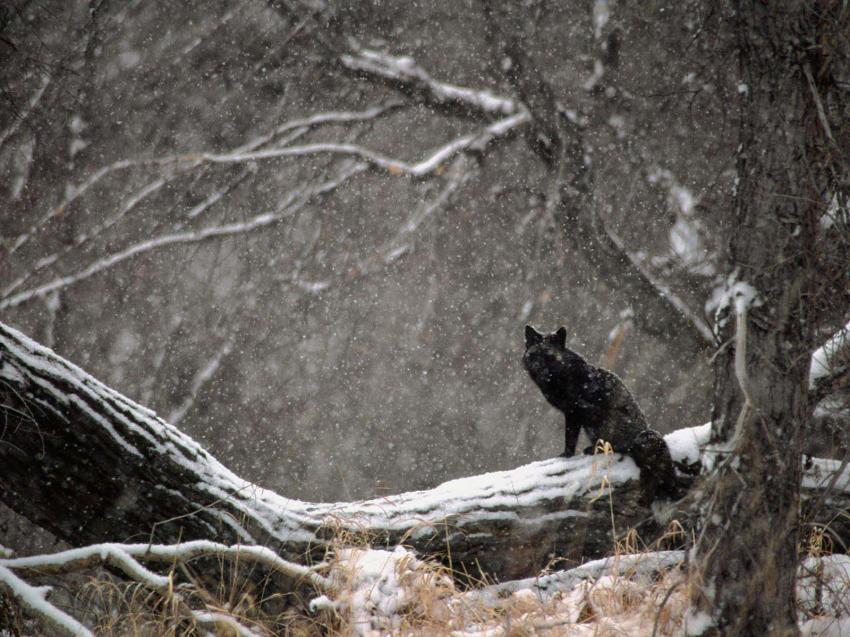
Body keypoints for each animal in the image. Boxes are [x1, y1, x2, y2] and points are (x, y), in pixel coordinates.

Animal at [523, 325, 680, 503]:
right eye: (535, 355)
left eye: (549, 357)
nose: (540, 369)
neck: (559, 379)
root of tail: (639, 435)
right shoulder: (571, 413)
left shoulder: (574, 412)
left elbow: (570, 437)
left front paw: (566, 455)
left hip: (600, 424)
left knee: (617, 447)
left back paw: (593, 449)